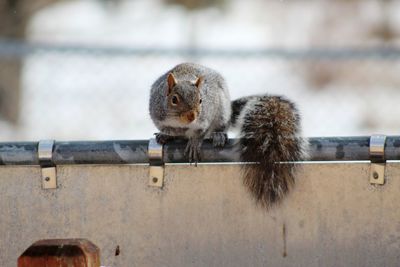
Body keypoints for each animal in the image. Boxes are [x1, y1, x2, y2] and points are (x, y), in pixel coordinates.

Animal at [148, 62, 308, 207]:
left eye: (201, 100)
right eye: (174, 99)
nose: (192, 116)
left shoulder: (206, 118)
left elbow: (200, 133)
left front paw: (194, 143)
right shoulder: (159, 117)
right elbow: (169, 130)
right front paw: (166, 135)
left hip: (222, 112)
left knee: (220, 126)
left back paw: (218, 135)